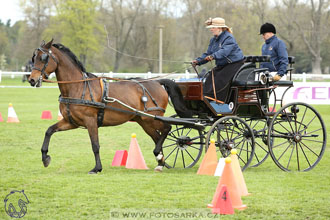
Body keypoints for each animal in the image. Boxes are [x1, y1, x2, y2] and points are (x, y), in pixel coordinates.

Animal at [30, 39, 193, 174]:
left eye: (43, 58)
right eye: (34, 57)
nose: (32, 80)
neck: (78, 87)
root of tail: (156, 82)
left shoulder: (90, 121)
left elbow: (95, 145)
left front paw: (97, 168)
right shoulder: (71, 122)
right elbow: (49, 131)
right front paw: (45, 158)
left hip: (152, 118)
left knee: (167, 128)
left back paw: (159, 154)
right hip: (144, 121)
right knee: (157, 136)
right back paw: (160, 161)